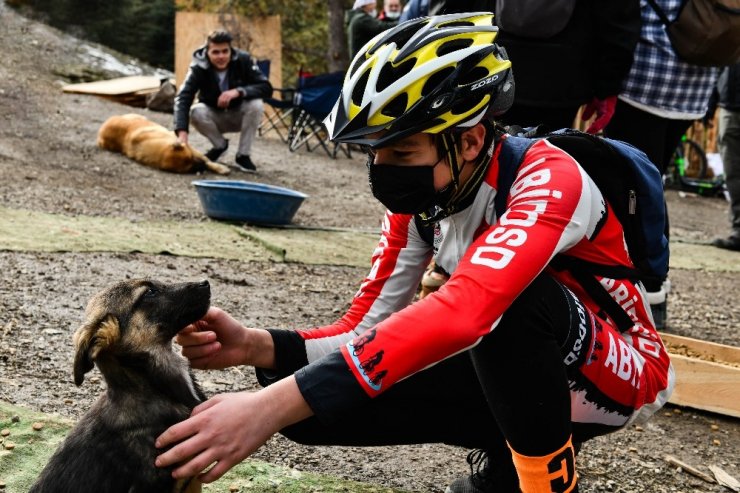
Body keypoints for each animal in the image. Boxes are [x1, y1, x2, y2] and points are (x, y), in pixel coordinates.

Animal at [98, 114, 230, 176]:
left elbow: (207, 159)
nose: (201, 166)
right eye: (190, 167)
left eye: (191, 157)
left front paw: (218, 167)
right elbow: (206, 160)